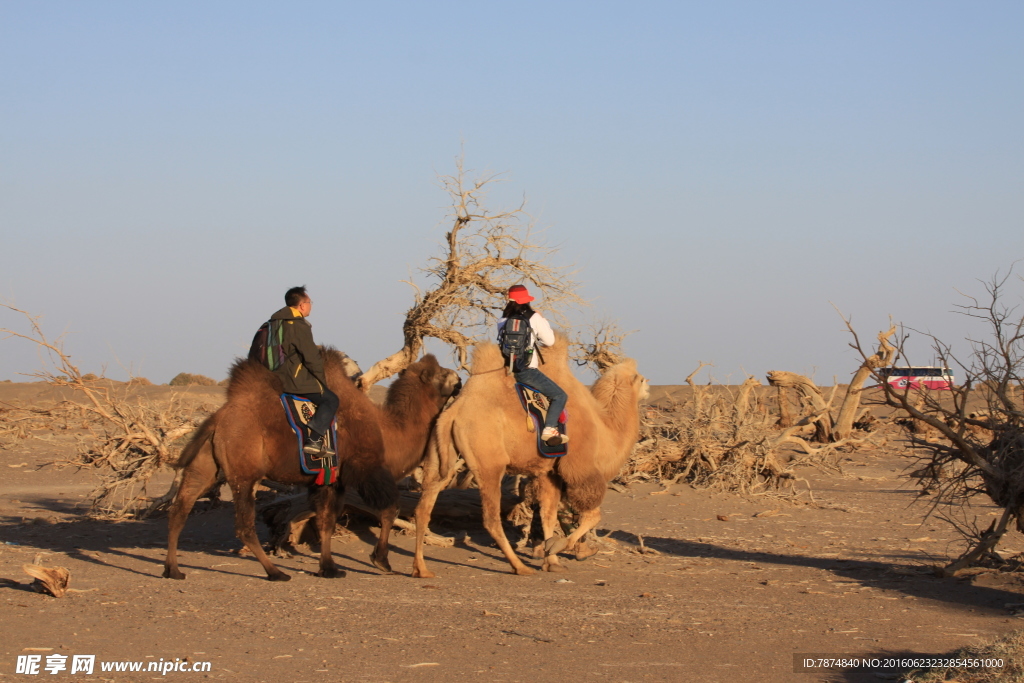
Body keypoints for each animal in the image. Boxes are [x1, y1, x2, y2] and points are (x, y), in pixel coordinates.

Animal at [409, 335, 643, 577]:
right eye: (642, 380)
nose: (648, 385)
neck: (604, 429)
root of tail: (455, 411)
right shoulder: (579, 467)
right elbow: (591, 514)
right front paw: (561, 547)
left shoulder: (549, 472)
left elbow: (548, 514)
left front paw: (552, 561)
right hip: (489, 464)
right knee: (491, 519)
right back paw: (519, 567)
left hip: (439, 452)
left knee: (424, 507)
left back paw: (421, 568)